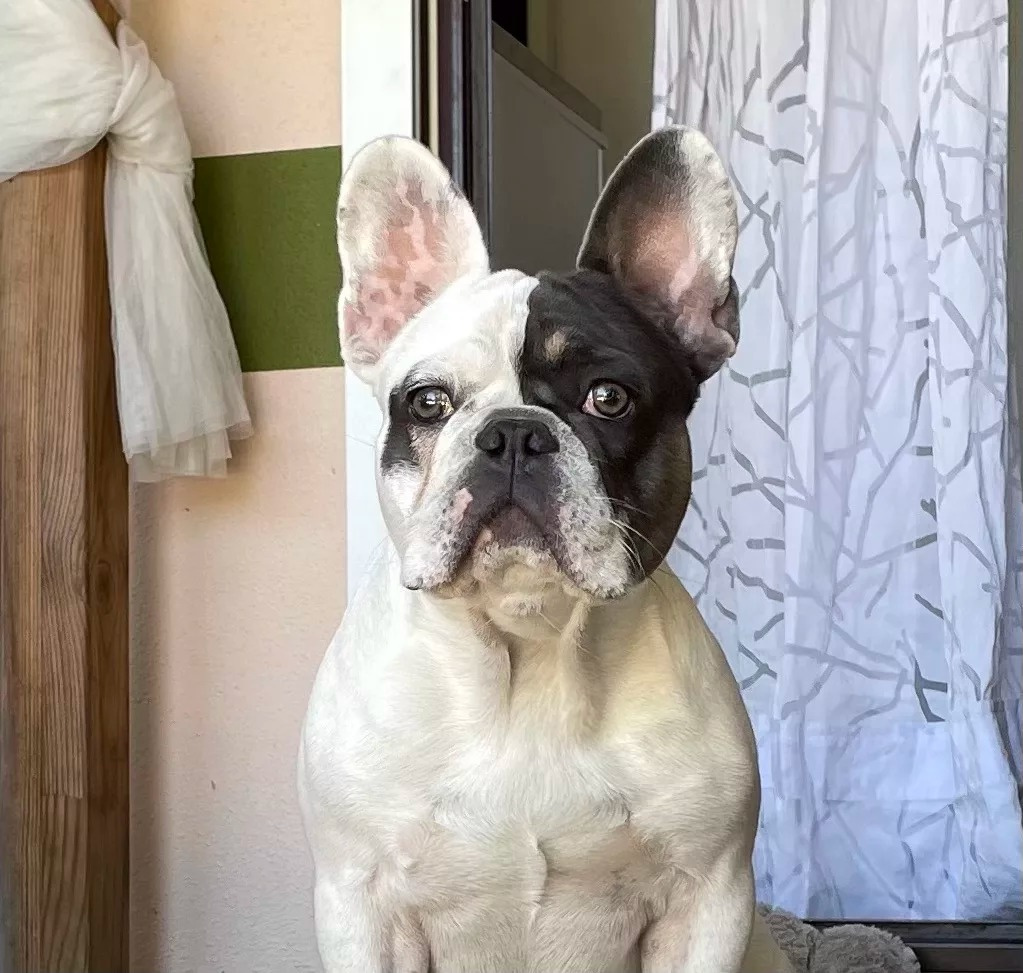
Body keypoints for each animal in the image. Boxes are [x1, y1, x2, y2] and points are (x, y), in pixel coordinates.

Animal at [299, 127, 794, 973]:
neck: (528, 647)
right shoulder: (359, 901)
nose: (514, 433)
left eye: (608, 397)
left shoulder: (707, 898)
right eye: (427, 402)